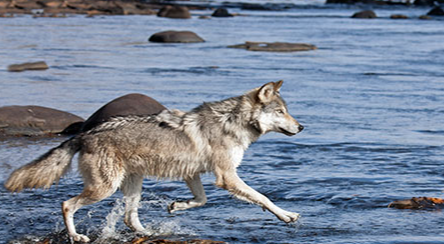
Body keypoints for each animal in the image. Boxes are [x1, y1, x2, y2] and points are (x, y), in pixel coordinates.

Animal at [4, 80, 302, 242]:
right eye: (281, 112)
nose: (301, 127)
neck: (232, 123)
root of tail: (85, 133)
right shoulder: (227, 177)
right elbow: (262, 197)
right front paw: (286, 215)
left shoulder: (192, 173)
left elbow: (201, 200)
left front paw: (177, 205)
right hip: (105, 188)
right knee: (67, 204)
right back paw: (76, 236)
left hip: (133, 185)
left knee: (128, 218)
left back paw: (149, 232)